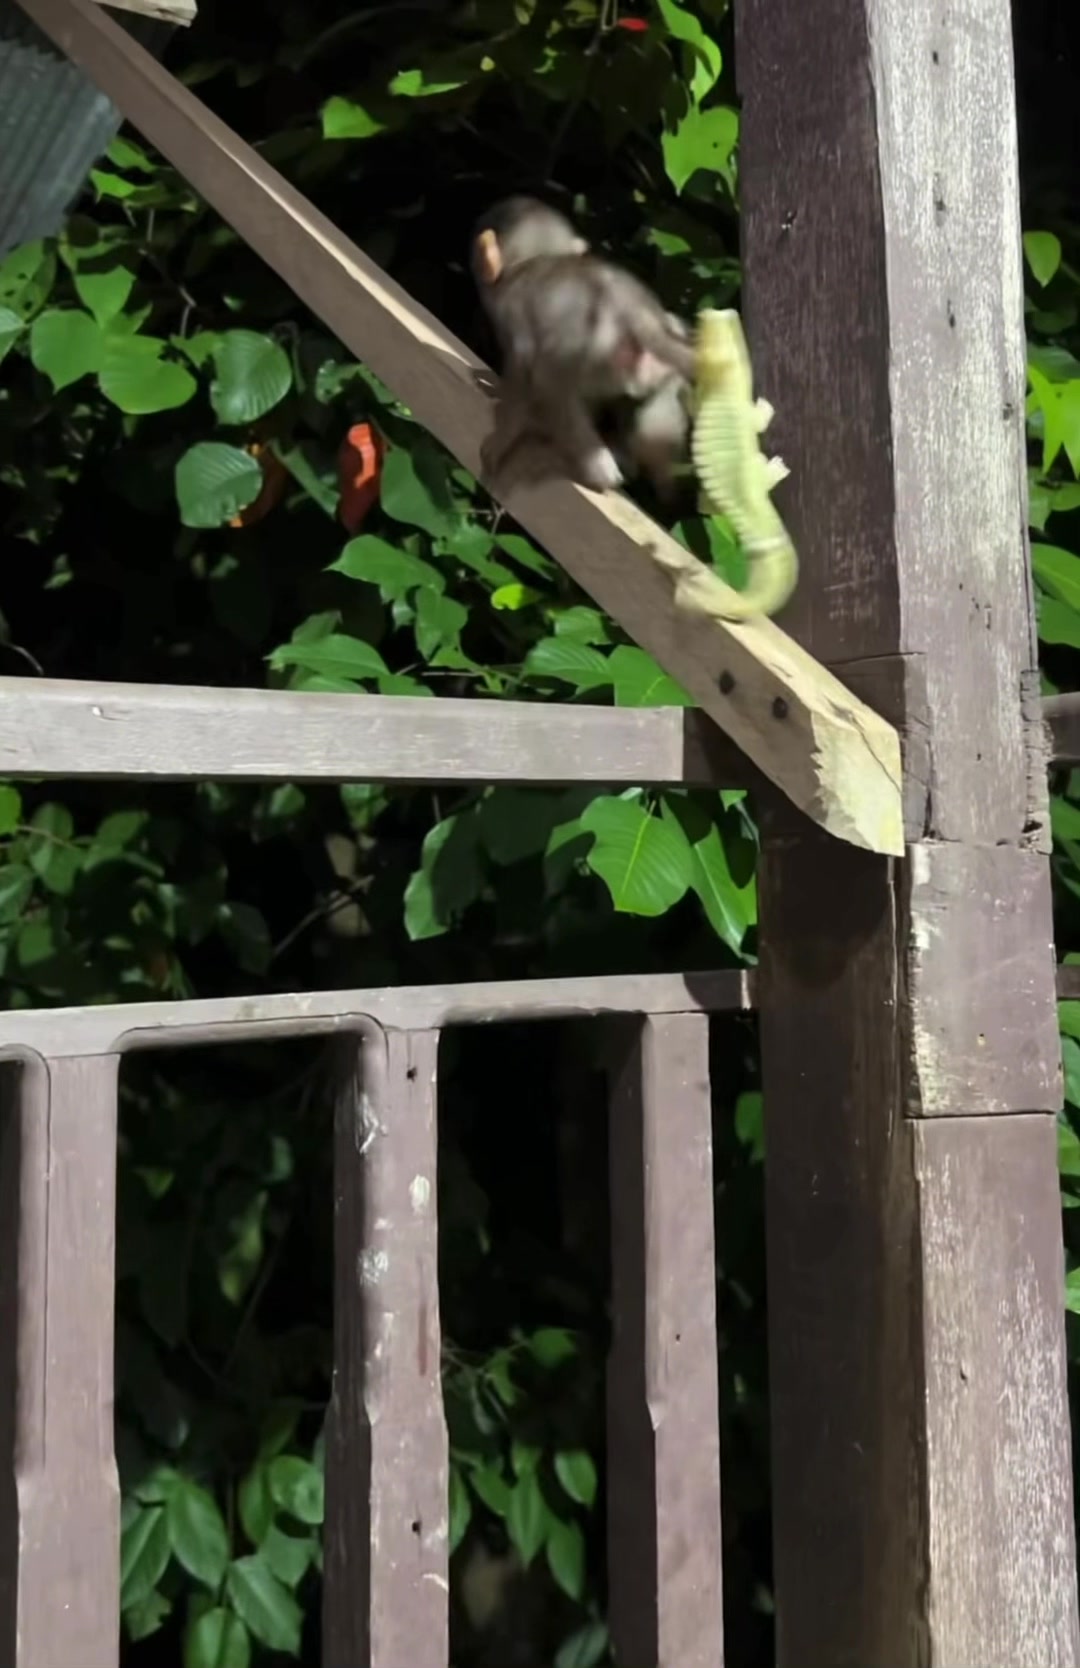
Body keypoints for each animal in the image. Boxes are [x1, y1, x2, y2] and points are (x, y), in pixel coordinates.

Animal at [471, 196, 695, 498]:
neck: (531, 260)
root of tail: (636, 308)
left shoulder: (511, 308)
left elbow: (522, 372)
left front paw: (501, 437)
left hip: (597, 345)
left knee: (548, 377)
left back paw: (598, 466)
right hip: (653, 362)